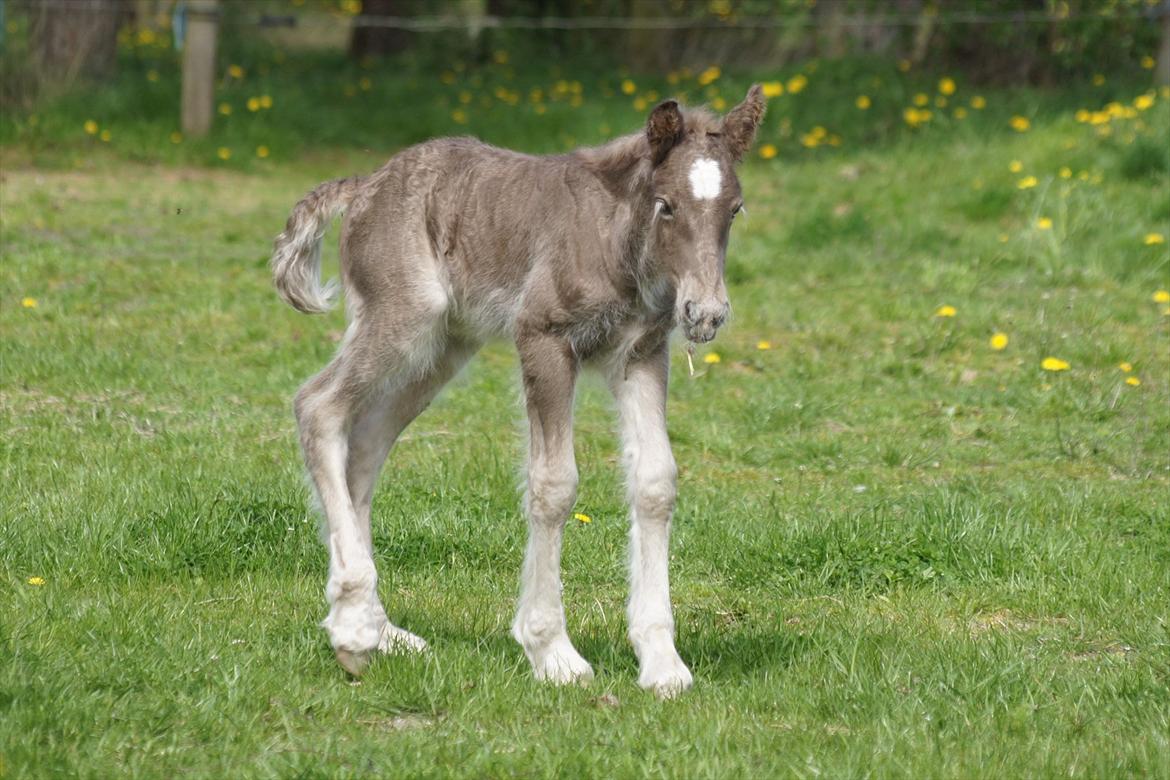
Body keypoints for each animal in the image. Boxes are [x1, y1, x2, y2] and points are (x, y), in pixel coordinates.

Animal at [272, 85, 767, 696]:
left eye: (735, 208)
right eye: (666, 204)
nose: (706, 313)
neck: (614, 238)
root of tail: (364, 186)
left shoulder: (642, 353)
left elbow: (656, 482)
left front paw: (661, 661)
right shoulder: (544, 339)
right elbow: (554, 485)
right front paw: (552, 651)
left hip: (445, 345)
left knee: (362, 446)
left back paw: (379, 629)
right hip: (405, 317)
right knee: (317, 406)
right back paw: (354, 632)